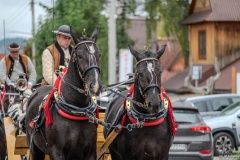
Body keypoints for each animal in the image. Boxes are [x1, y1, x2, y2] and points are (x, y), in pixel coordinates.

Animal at [25, 26, 102, 159]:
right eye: (80, 56)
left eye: (99, 54)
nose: (95, 85)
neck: (77, 109)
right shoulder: (57, 152)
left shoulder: (90, 152)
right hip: (34, 147)